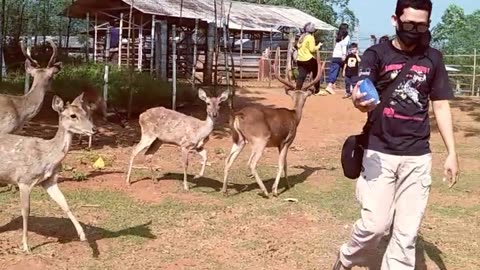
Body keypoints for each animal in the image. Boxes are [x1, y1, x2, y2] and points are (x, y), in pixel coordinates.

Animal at [0, 93, 94, 253]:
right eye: (73, 115)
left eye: (85, 113)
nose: (93, 129)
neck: (47, 157)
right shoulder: (24, 179)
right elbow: (26, 211)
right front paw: (26, 246)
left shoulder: (49, 181)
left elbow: (64, 203)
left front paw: (82, 235)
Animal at [223, 50, 324, 197]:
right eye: (306, 97)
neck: (295, 116)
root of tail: (238, 114)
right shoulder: (287, 141)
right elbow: (281, 164)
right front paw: (276, 189)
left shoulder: (279, 144)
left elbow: (285, 164)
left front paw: (288, 185)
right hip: (260, 138)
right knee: (251, 163)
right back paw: (265, 191)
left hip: (239, 139)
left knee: (228, 160)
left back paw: (225, 190)